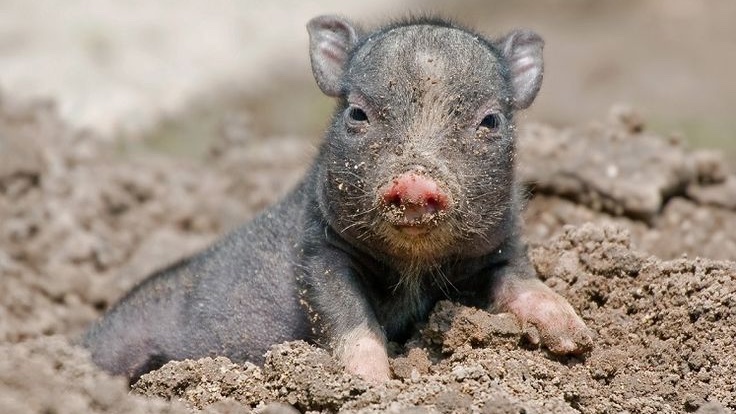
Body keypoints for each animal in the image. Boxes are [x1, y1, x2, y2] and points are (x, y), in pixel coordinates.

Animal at [82, 15, 593, 384]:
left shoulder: (501, 249)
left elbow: (525, 283)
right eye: (357, 113)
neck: (415, 267)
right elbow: (347, 318)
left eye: (490, 120)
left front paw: (578, 338)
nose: (414, 181)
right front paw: (374, 385)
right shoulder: (320, 253)